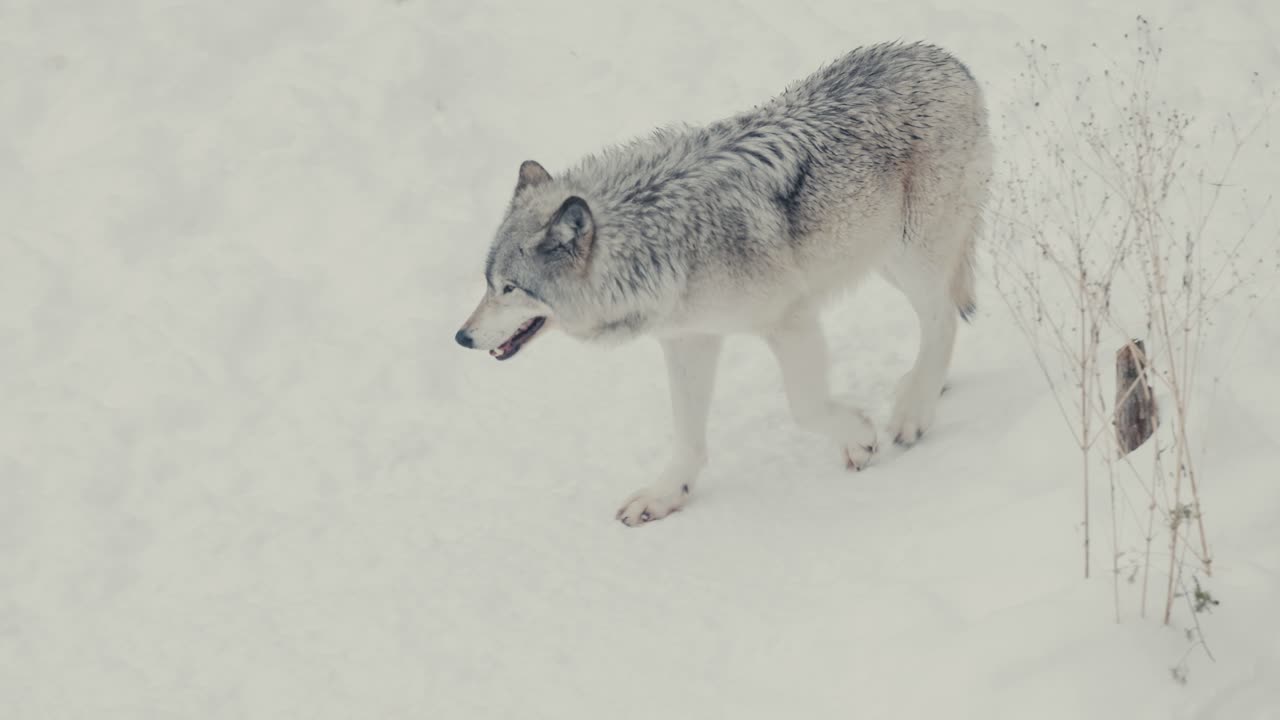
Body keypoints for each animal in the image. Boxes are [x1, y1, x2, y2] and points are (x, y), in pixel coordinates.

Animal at [455, 42, 991, 526]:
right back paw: (923, 387)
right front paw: (665, 497)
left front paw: (859, 438)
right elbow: (686, 435)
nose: (461, 337)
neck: (660, 242)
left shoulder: (791, 322)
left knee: (942, 318)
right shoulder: (688, 341)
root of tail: (946, 59)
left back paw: (912, 411)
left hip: (909, 255)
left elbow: (805, 407)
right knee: (940, 316)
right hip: (881, 258)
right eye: (488, 283)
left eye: (510, 288)